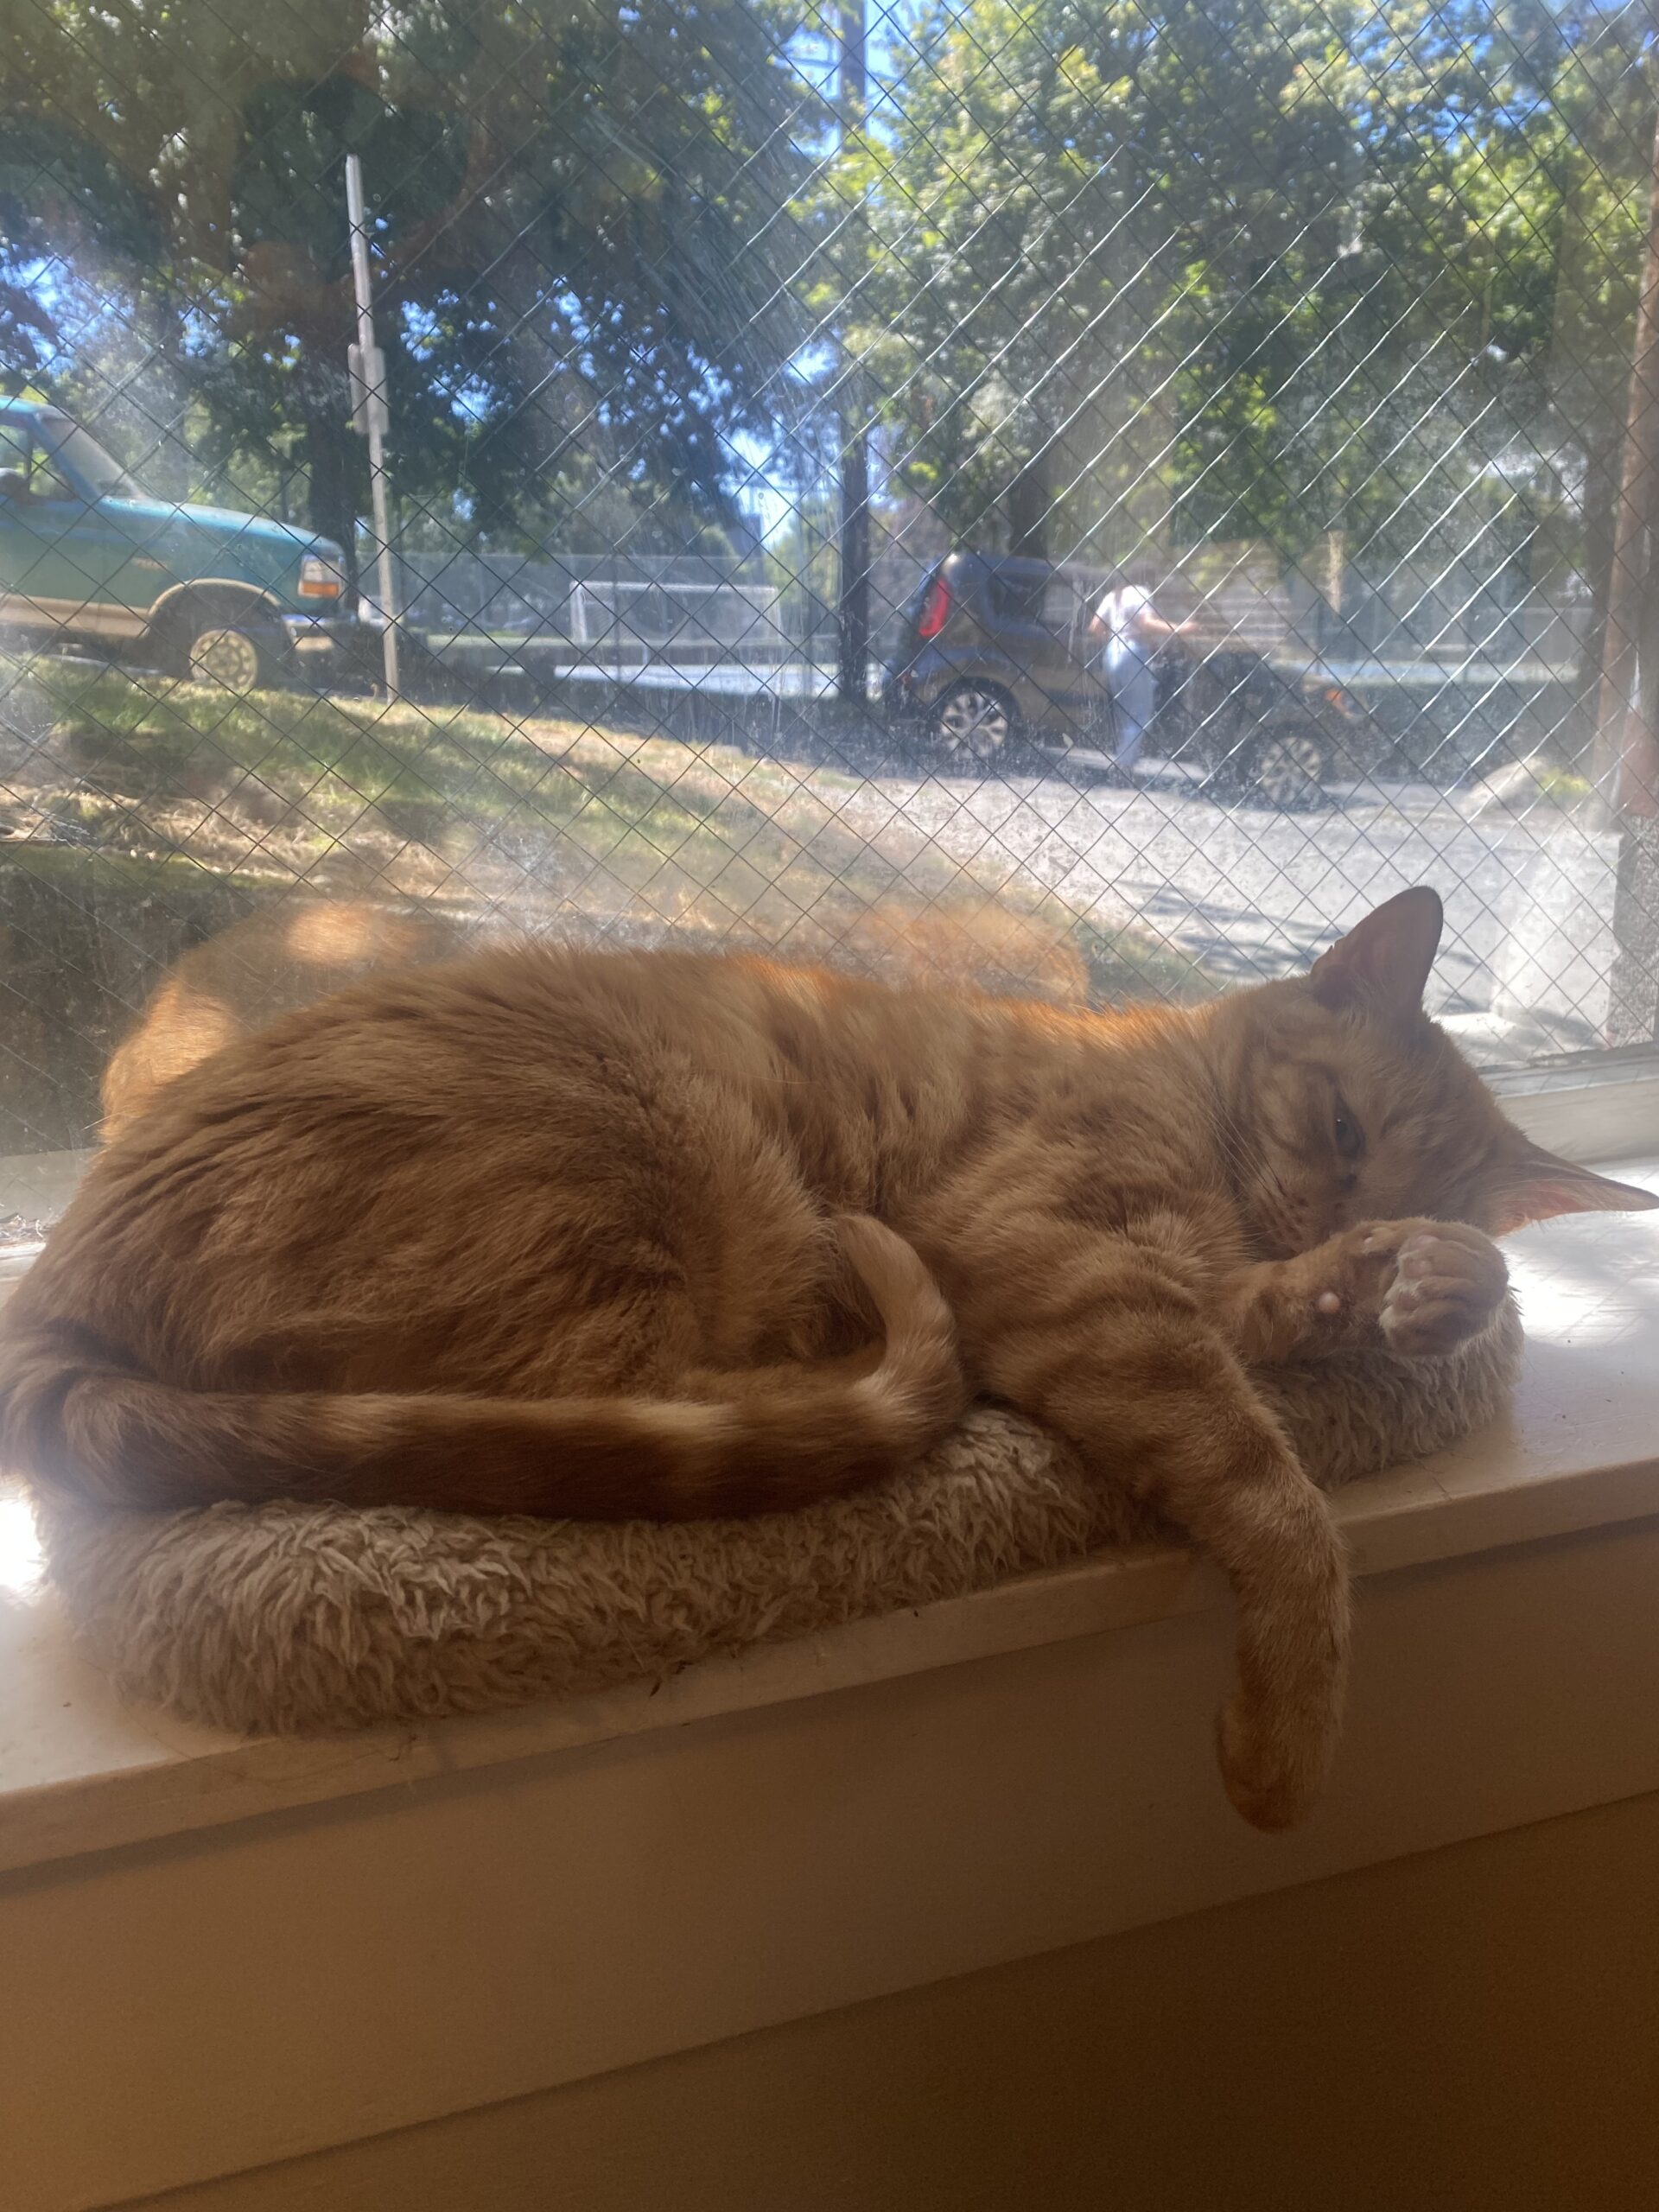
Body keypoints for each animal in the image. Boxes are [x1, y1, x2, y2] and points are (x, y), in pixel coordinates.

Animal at [0, 885, 1654, 1831]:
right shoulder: (1053, 1267)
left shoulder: (1160, 1284)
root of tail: (63, 1274)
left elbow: (1300, 1317)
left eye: (1407, 1178)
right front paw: (1285, 1746)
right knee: (643, 1396)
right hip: (644, 1171)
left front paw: (1421, 1285)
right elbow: (1278, 1501)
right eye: (1344, 1128)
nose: (1339, 1216)